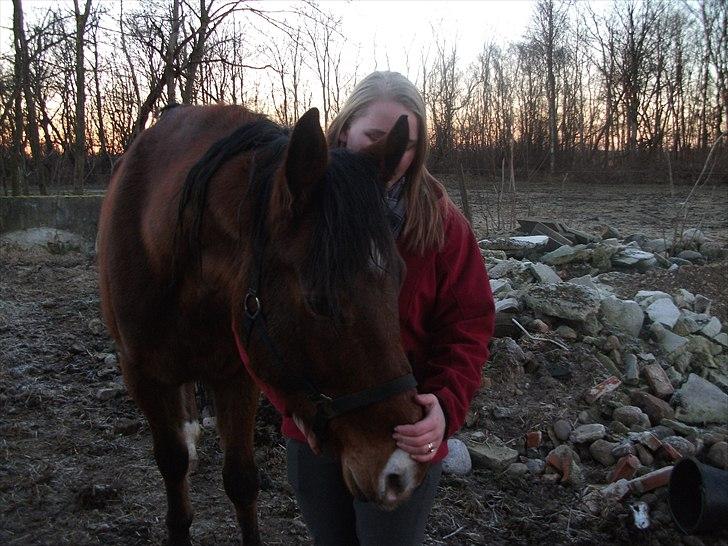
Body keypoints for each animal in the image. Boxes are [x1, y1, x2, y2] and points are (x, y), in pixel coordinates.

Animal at [96, 104, 426, 540]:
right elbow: (172, 463)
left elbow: (241, 480)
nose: (400, 472)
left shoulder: (237, 375)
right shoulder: (141, 376)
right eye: (319, 300)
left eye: (400, 277)